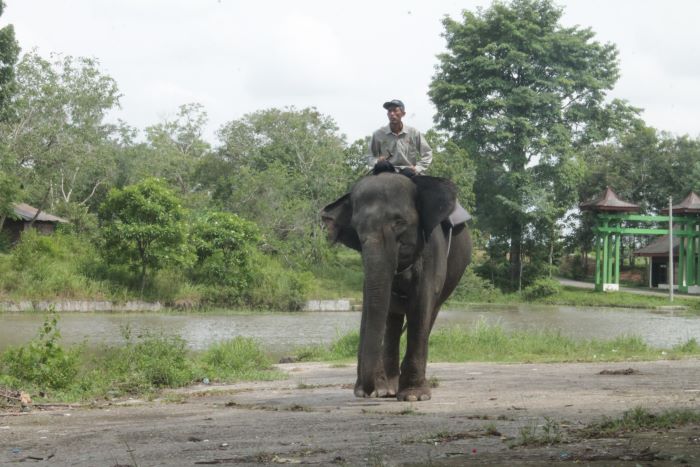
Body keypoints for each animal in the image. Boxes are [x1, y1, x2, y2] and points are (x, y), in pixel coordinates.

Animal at [322, 172, 470, 402]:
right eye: (356, 227)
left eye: (400, 222)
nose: (365, 391)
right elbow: (373, 302)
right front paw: (373, 392)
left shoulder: (432, 249)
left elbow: (421, 303)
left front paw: (414, 396)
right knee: (392, 316)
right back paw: (389, 390)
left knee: (430, 312)